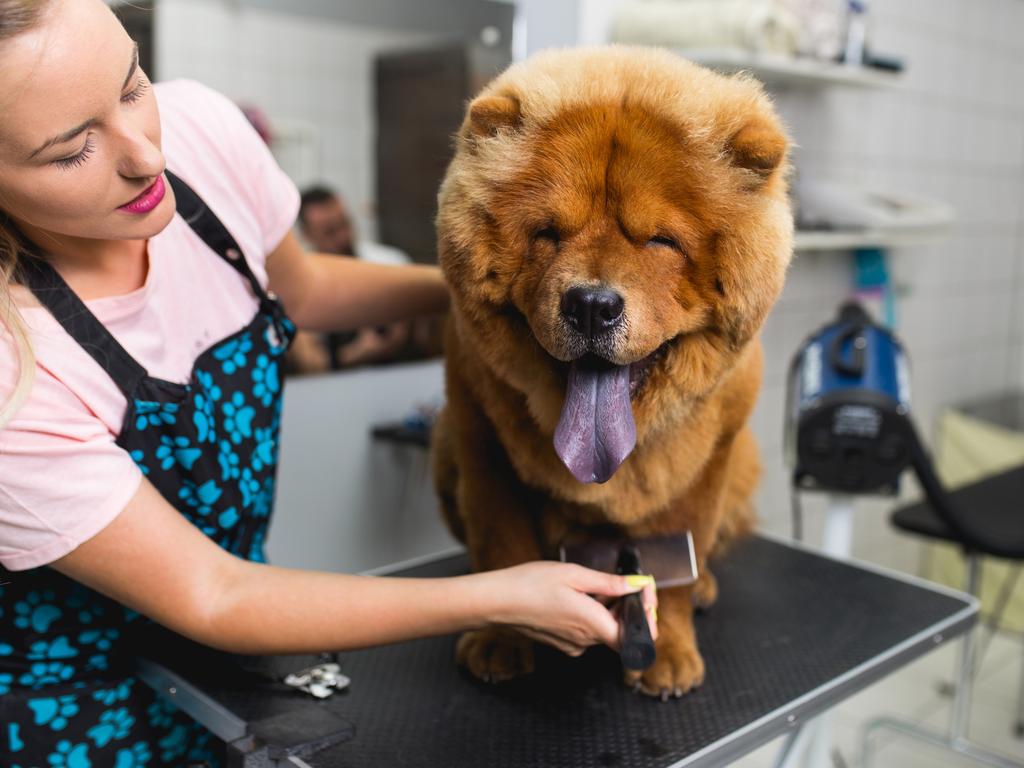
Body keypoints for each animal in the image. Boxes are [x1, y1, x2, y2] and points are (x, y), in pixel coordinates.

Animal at [428, 45, 794, 700]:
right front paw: (503, 638)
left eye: (661, 241)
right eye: (547, 233)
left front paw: (667, 656)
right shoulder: (481, 443)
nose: (592, 305)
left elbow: (674, 572)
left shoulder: (703, 470)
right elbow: (503, 548)